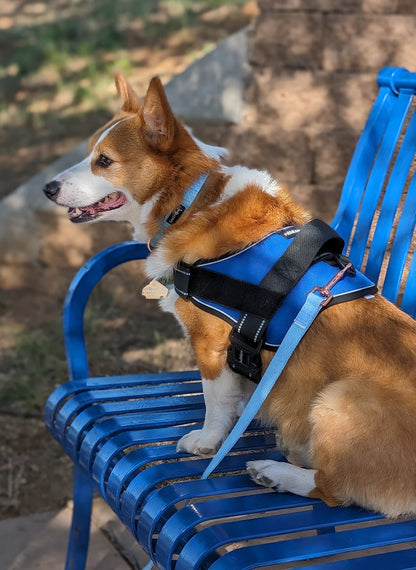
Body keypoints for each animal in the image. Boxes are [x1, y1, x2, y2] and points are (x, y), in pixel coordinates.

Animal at [42, 72, 416, 516]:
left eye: (104, 161)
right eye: (88, 154)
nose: (47, 188)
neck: (188, 200)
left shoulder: (211, 344)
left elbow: (215, 403)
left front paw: (207, 443)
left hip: (339, 397)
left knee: (332, 489)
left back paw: (277, 472)